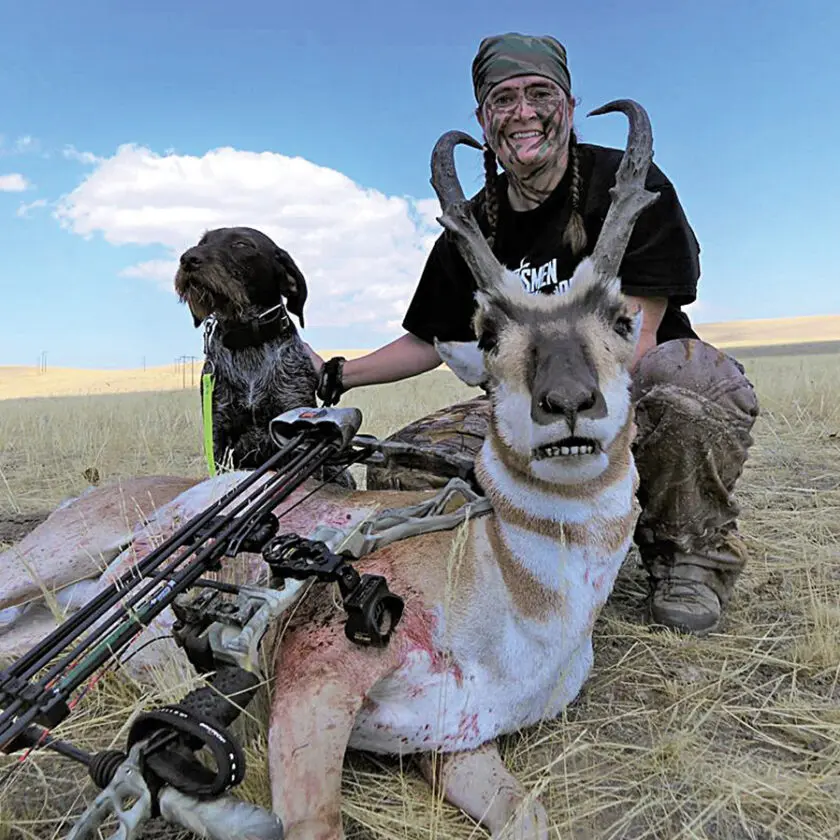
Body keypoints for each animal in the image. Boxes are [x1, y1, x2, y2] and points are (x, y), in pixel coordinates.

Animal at [0, 100, 656, 840]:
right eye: (487, 332)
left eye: (622, 318)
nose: (568, 404)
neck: (519, 602)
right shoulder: (315, 684)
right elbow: (312, 821)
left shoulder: (455, 746)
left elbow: (534, 818)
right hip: (52, 559)